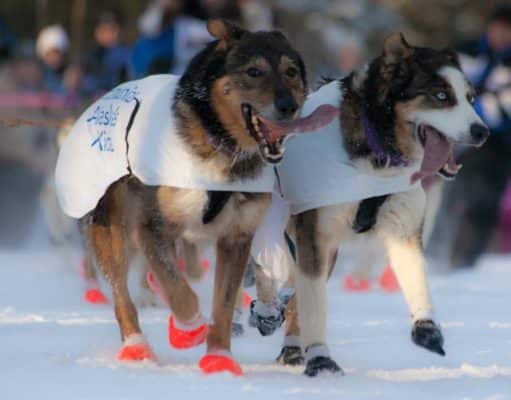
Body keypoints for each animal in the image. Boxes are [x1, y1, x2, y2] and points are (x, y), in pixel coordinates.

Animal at [56, 19, 338, 376]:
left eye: (290, 72)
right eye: (254, 71)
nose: (288, 106)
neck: (220, 142)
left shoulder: (236, 236)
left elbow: (223, 303)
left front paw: (219, 357)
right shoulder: (152, 227)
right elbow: (180, 292)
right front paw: (188, 330)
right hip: (112, 230)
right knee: (123, 296)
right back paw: (136, 346)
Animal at [272, 32, 492, 376]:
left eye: (470, 98)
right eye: (441, 95)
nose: (482, 131)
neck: (375, 148)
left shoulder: (403, 228)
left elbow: (414, 274)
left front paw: (426, 326)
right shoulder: (313, 236)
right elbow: (314, 305)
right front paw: (320, 357)